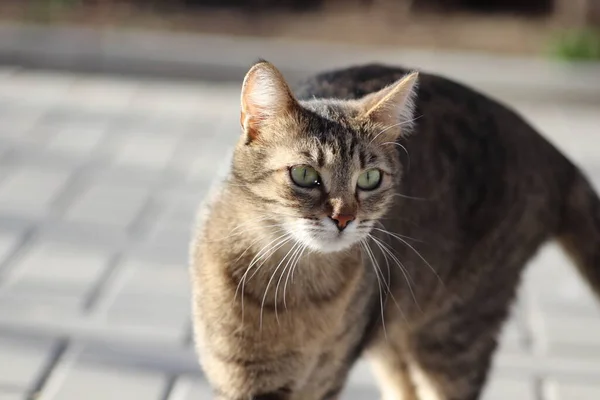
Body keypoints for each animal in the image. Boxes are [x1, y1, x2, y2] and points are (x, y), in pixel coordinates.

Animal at [190, 60, 600, 400]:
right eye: (305, 175)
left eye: (370, 179)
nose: (344, 218)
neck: (292, 290)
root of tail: (551, 149)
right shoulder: (238, 377)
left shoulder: (325, 377)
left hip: (454, 333)